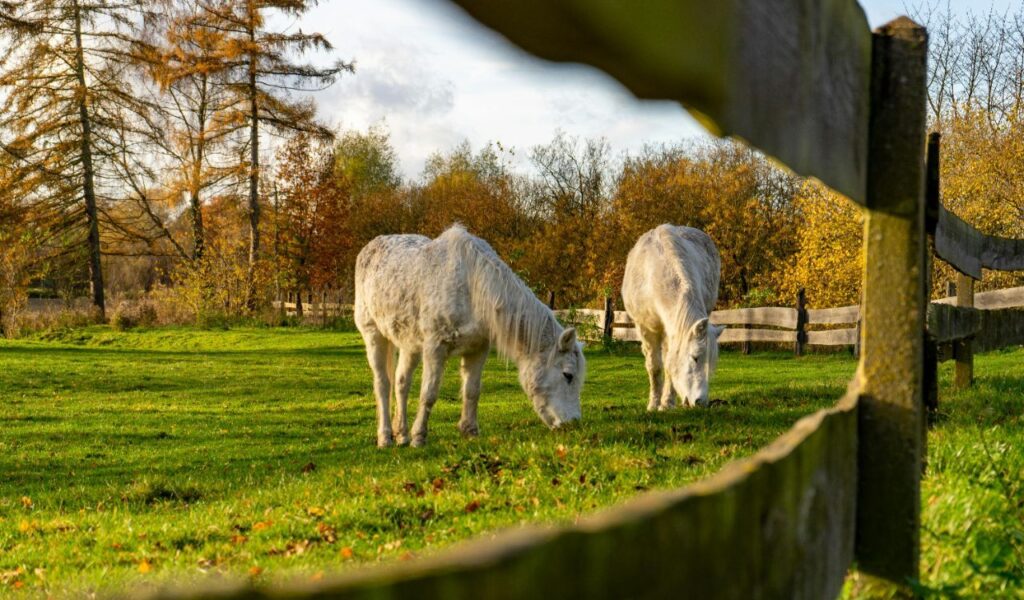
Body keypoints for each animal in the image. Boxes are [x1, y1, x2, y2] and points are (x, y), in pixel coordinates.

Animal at [354, 225, 585, 447]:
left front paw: (470, 431)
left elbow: (472, 391)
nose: (572, 424)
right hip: (373, 335)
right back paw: (385, 437)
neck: (472, 286)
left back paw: (402, 435)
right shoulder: (435, 348)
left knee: (402, 383)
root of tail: (370, 247)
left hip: (409, 344)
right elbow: (429, 394)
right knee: (383, 384)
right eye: (568, 375)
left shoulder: (477, 350)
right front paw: (419, 437)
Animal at [622, 224, 725, 410]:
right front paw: (653, 404)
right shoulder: (646, 329)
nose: (701, 402)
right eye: (695, 358)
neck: (655, 276)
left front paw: (666, 403)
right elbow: (654, 367)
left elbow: (669, 365)